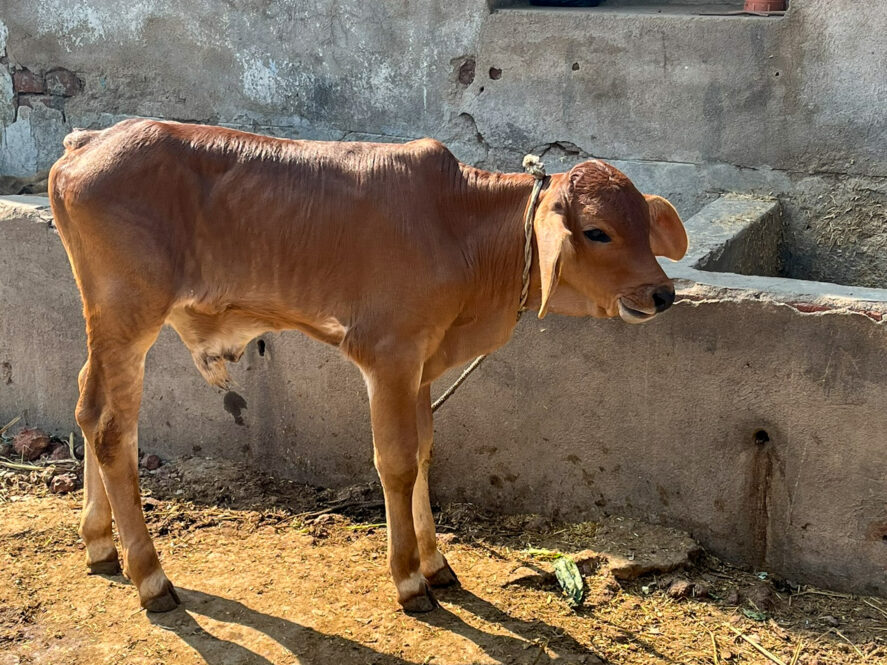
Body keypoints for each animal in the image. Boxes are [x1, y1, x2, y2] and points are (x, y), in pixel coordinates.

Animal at [48, 119, 687, 613]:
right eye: (597, 231)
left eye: (642, 224)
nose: (662, 295)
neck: (460, 227)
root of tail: (88, 141)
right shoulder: (390, 356)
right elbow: (397, 462)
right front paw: (409, 580)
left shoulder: (424, 363)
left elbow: (426, 452)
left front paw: (436, 563)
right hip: (128, 316)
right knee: (111, 426)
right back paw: (150, 576)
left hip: (107, 326)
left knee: (88, 406)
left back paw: (100, 545)